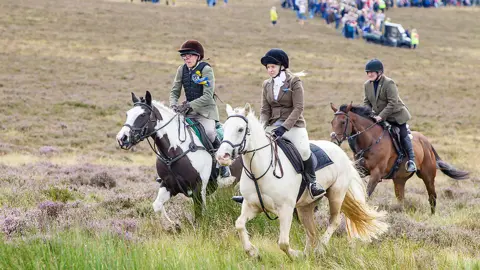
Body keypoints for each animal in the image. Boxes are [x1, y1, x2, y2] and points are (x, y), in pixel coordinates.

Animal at [216, 104, 388, 260]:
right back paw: (308, 253)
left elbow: (283, 243)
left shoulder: (285, 209)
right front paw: (253, 253)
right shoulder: (251, 205)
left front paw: (295, 255)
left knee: (334, 221)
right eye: (224, 128)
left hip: (336, 194)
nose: (222, 157)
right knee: (311, 230)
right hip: (305, 205)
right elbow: (239, 225)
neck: (260, 170)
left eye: (240, 129)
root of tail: (340, 152)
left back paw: (319, 249)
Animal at [330, 102, 468, 214]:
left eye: (343, 122)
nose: (334, 141)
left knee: (432, 197)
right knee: (401, 199)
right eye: (332, 122)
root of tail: (427, 142)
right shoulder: (360, 171)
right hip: (399, 180)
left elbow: (366, 195)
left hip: (427, 176)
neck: (371, 141)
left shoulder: (376, 174)